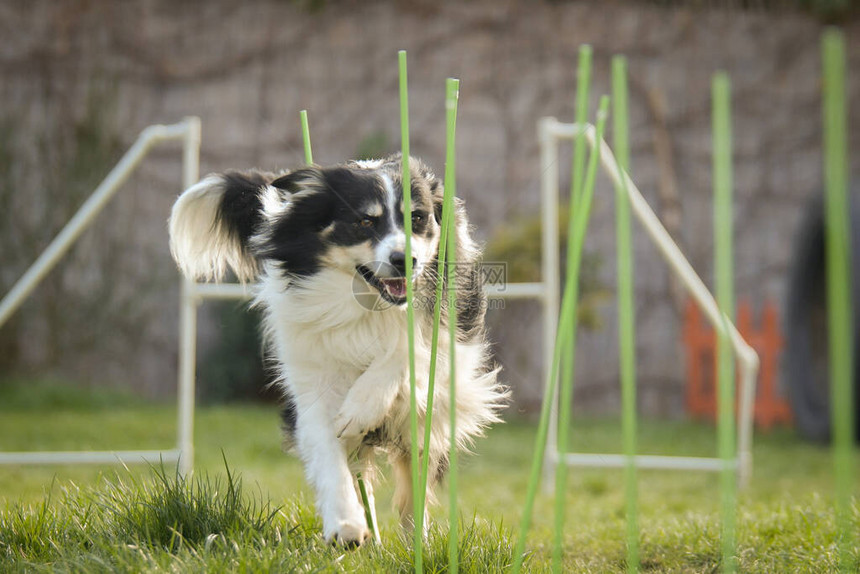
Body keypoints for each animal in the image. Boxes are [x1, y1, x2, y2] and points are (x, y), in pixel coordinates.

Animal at [167, 154, 504, 548]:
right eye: (364, 221)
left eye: (418, 218)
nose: (404, 260)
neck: (365, 304)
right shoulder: (311, 372)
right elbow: (326, 446)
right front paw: (345, 524)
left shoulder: (454, 335)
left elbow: (410, 347)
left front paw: (359, 409)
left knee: (413, 476)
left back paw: (414, 542)